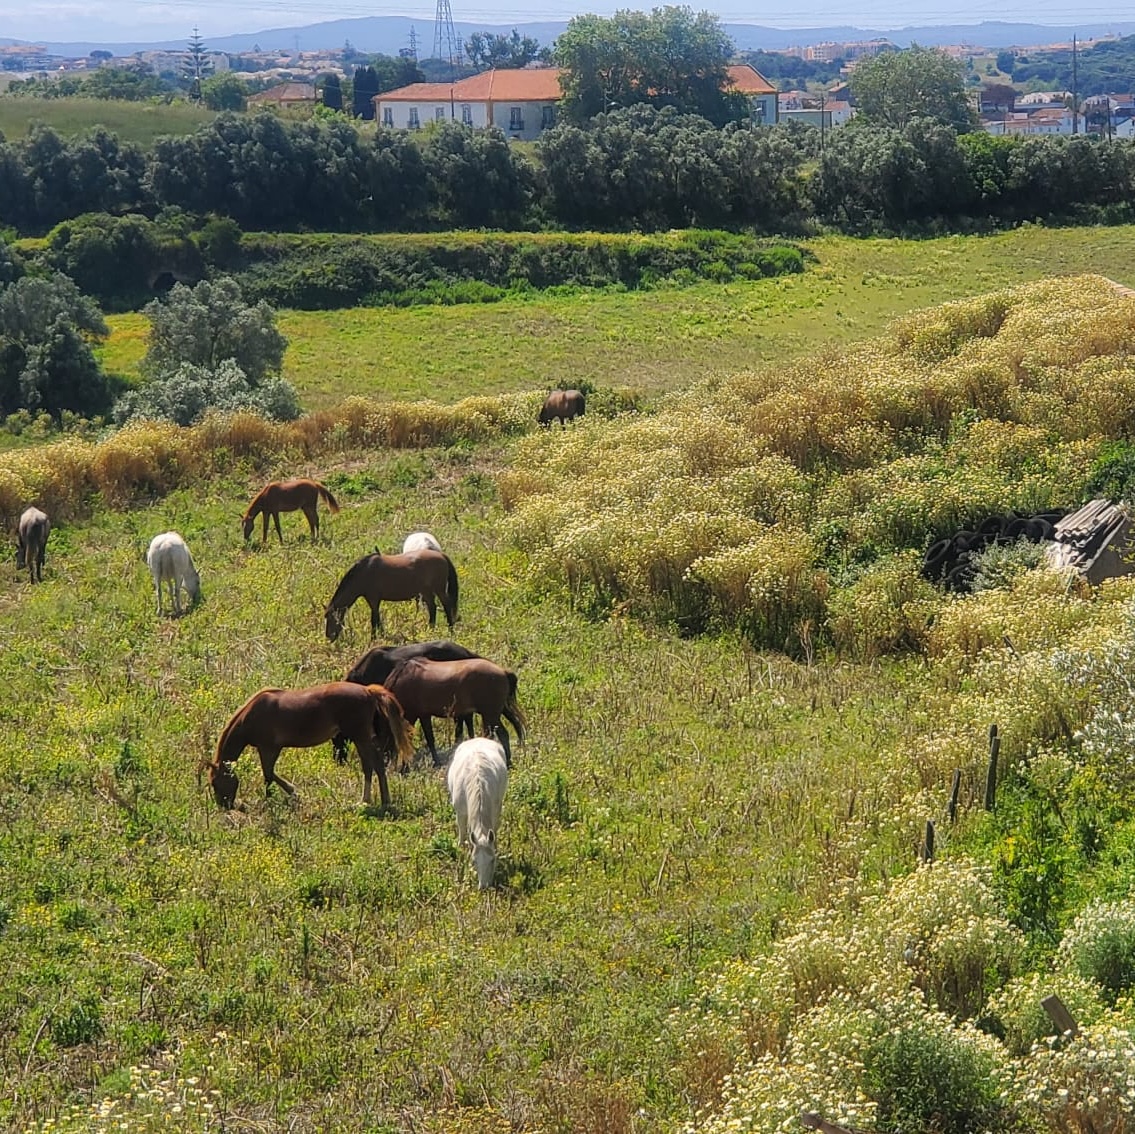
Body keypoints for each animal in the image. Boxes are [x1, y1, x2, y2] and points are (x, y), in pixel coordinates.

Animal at [206, 682, 413, 810]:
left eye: (215, 782)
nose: (224, 806)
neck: (253, 715)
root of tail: (369, 691)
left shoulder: (269, 748)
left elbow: (268, 775)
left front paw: (278, 797)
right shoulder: (268, 749)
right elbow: (270, 774)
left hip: (359, 736)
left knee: (374, 764)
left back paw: (380, 801)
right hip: (360, 737)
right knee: (370, 765)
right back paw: (369, 800)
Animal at [324, 550, 458, 641]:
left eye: (330, 618)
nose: (329, 637)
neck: (364, 572)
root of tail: (441, 555)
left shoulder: (373, 599)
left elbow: (374, 619)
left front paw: (373, 638)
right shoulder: (373, 600)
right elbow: (377, 619)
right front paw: (382, 635)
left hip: (438, 589)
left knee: (446, 605)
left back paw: (451, 629)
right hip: (426, 592)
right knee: (432, 608)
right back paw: (430, 629)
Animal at [382, 656, 525, 767]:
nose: (386, 763)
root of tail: (503, 671)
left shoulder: (416, 716)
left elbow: (422, 739)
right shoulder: (423, 715)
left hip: (490, 714)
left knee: (500, 734)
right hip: (498, 712)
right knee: (510, 729)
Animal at [448, 737, 509, 890]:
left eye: (492, 860)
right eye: (474, 861)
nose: (484, 887)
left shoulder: (496, 810)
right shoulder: (460, 813)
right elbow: (462, 835)